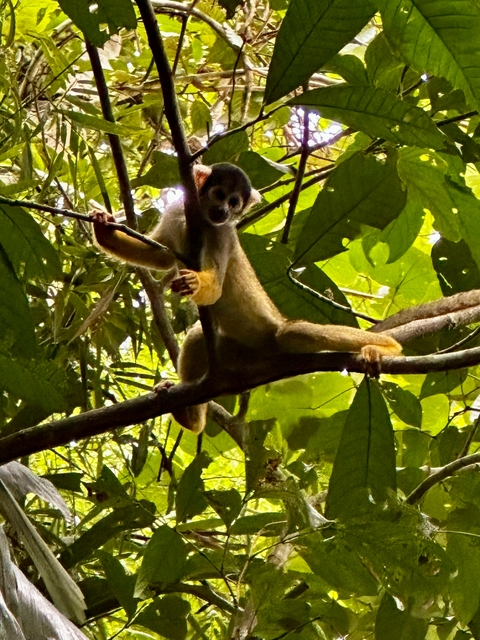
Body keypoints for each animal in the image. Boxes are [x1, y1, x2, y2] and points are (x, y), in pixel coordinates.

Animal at [93, 162, 405, 434]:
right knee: (197, 336)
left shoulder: (222, 234)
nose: (224, 211)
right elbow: (160, 257)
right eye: (220, 195)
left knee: (296, 332)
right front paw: (103, 230)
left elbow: (215, 286)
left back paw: (385, 348)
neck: (200, 219)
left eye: (234, 203)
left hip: (278, 335)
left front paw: (195, 282)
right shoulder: (176, 212)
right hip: (236, 354)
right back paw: (192, 418)